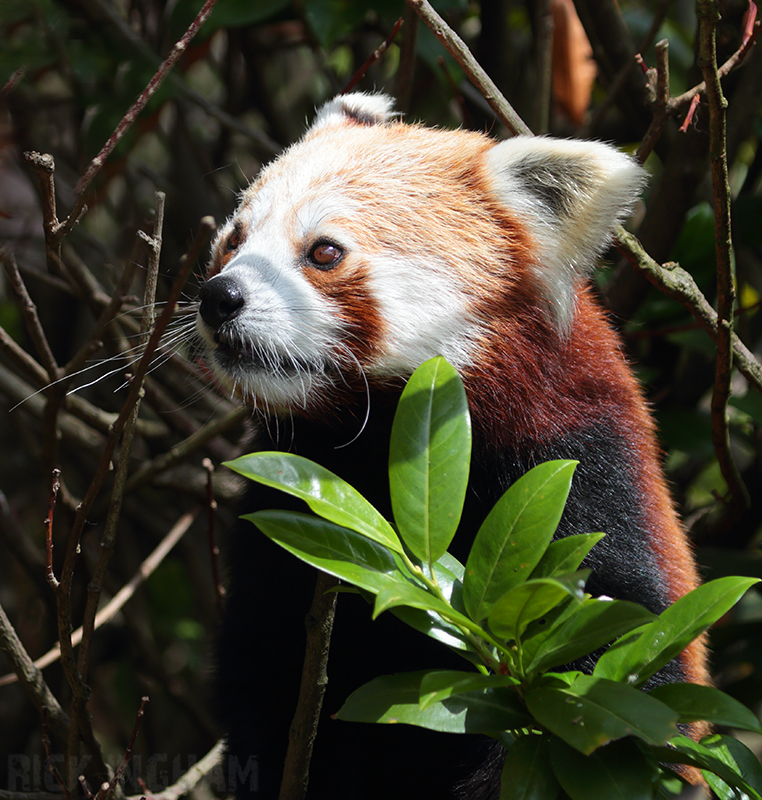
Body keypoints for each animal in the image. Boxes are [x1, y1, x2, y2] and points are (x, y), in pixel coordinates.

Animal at [197, 95, 708, 800]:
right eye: (235, 239)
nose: (219, 296)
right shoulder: (286, 515)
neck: (383, 450)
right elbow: (260, 671)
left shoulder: (577, 472)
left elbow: (622, 658)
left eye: (324, 252)